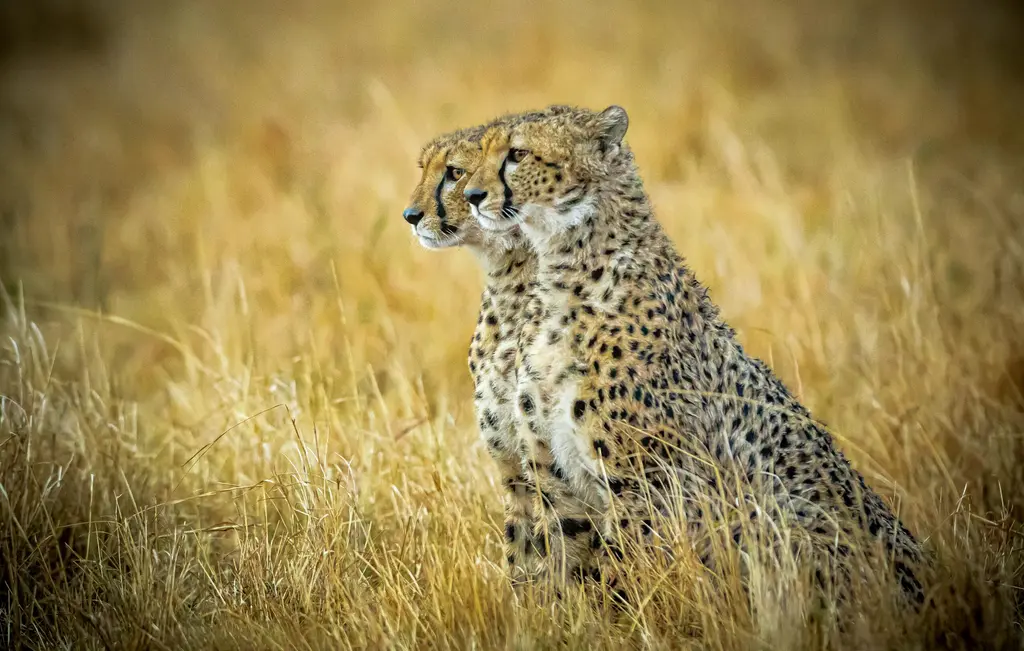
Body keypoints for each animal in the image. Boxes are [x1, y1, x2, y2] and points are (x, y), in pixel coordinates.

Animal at [461, 103, 929, 611]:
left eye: (517, 154)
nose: (471, 196)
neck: (565, 271)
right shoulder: (555, 477)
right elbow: (562, 573)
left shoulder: (647, 485)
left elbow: (619, 580)